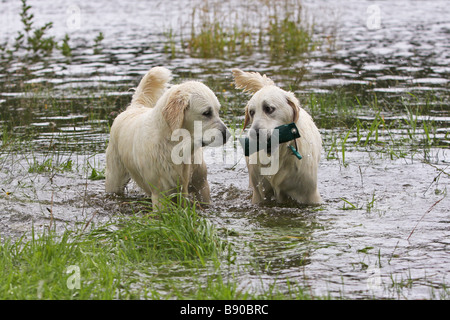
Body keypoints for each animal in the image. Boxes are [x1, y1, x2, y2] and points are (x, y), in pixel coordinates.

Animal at [105, 67, 229, 208]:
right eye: (207, 113)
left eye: (218, 111)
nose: (227, 134)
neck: (178, 146)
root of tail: (135, 107)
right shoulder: (161, 194)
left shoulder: (202, 186)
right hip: (114, 177)